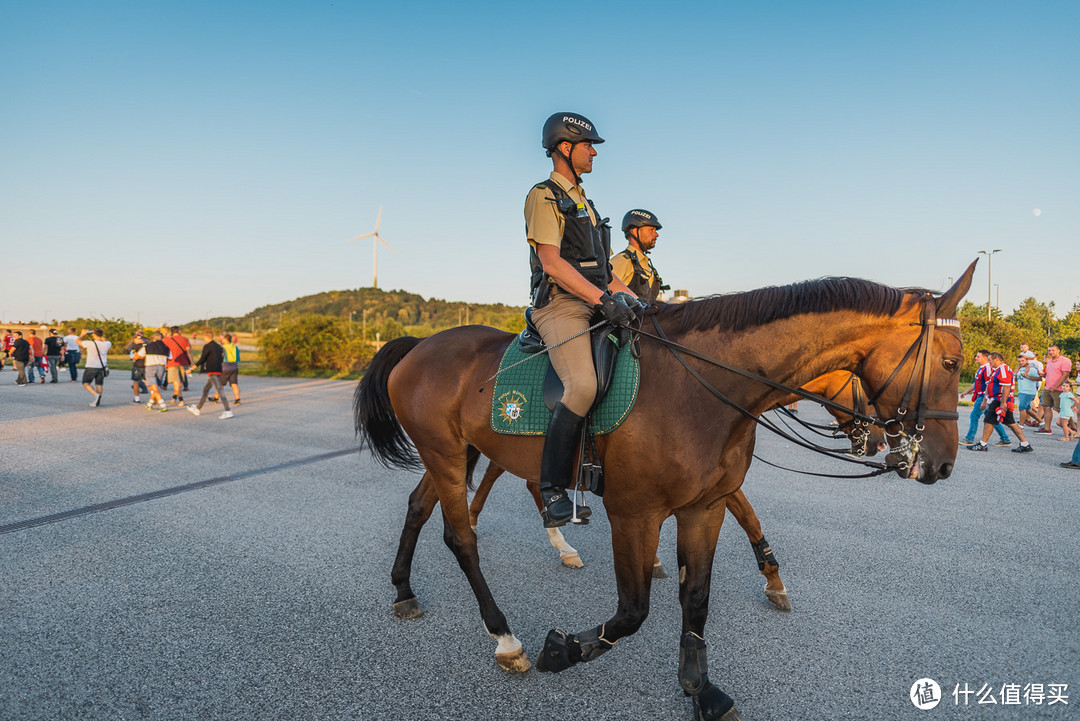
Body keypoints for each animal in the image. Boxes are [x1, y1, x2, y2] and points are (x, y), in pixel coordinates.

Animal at [354, 266, 972, 721]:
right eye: (951, 362)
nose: (940, 463)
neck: (704, 388)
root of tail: (419, 347)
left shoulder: (705, 506)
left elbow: (695, 596)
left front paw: (701, 688)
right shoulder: (634, 512)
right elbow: (633, 611)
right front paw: (563, 650)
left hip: (455, 454)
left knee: (422, 507)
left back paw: (405, 588)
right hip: (447, 455)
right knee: (462, 536)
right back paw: (506, 637)